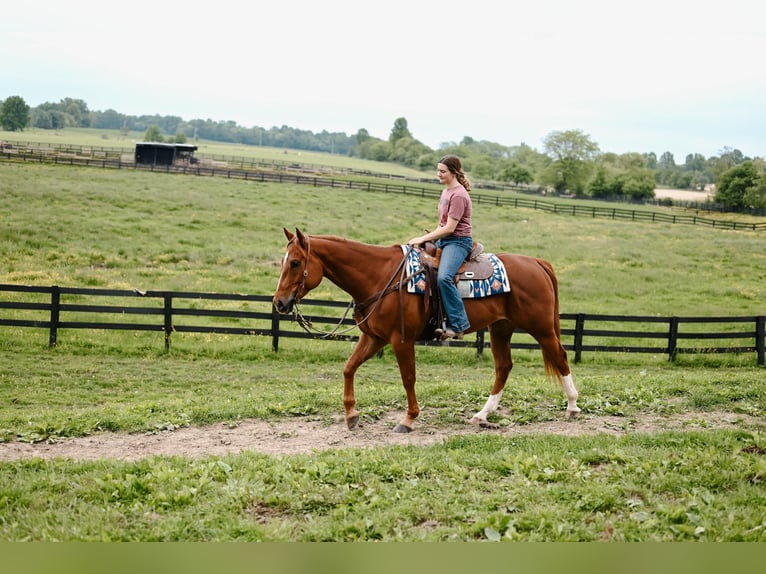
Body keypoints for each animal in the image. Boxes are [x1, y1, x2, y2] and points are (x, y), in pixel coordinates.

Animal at [272, 227, 580, 434]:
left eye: (295, 262)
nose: (279, 303)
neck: (381, 276)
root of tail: (537, 263)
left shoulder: (401, 340)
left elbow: (408, 378)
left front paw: (408, 419)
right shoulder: (374, 338)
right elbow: (349, 368)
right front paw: (351, 414)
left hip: (541, 328)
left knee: (561, 356)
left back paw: (573, 406)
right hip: (501, 329)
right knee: (504, 367)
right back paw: (481, 415)